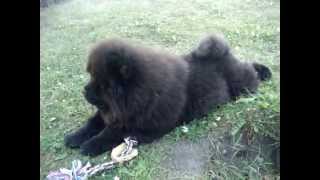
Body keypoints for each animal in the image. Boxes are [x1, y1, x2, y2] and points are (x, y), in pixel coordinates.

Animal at [65, 34, 272, 155]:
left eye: (101, 84)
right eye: (91, 77)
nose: (84, 90)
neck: (138, 95)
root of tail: (222, 52)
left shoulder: (141, 126)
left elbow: (112, 133)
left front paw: (90, 145)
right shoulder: (114, 114)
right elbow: (93, 123)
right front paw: (74, 137)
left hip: (242, 86)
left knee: (250, 74)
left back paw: (264, 72)